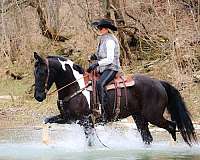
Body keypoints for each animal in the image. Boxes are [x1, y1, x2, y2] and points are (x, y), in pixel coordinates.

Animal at [33, 52, 198, 146]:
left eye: (43, 72)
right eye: (35, 73)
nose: (38, 97)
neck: (75, 87)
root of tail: (159, 82)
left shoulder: (86, 122)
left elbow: (90, 143)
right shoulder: (68, 118)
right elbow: (46, 121)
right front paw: (46, 142)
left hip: (154, 116)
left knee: (171, 126)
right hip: (139, 117)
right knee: (148, 137)